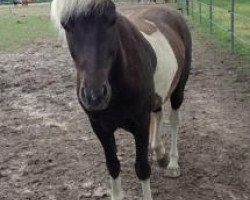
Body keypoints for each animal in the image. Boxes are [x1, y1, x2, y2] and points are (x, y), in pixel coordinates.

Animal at [50, 0, 191, 199]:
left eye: (111, 20)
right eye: (66, 25)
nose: (95, 96)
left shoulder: (140, 124)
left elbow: (142, 168)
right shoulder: (100, 128)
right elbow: (113, 166)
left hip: (178, 90)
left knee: (174, 121)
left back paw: (172, 163)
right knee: (158, 113)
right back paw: (158, 151)